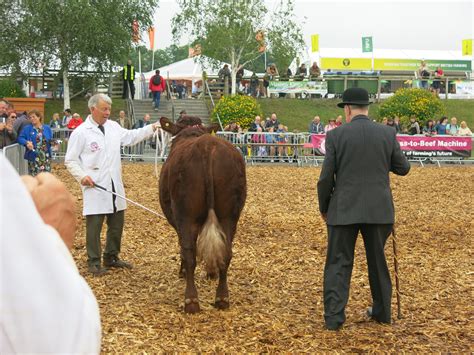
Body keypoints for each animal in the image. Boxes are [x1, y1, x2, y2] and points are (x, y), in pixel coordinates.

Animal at [160, 117, 248, 314]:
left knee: (189, 252)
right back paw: (222, 298)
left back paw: (191, 301)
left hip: (186, 214)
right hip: (230, 215)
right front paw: (211, 271)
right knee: (226, 251)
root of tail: (207, 145)